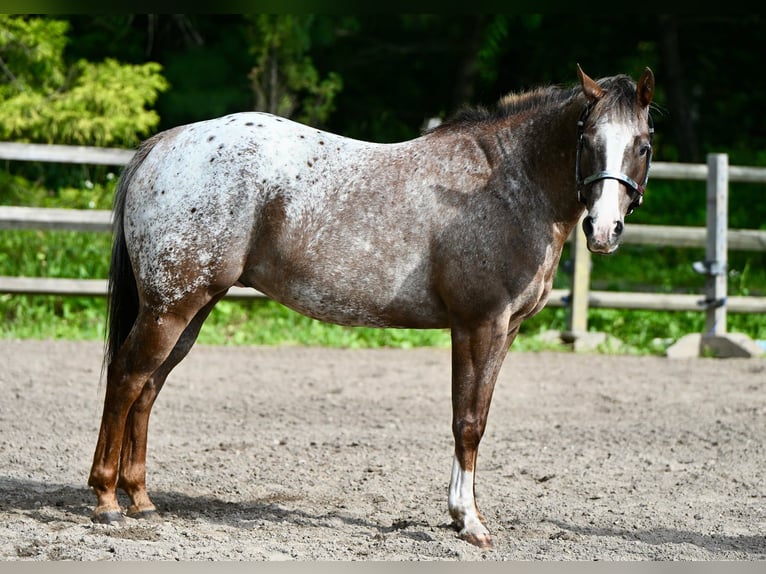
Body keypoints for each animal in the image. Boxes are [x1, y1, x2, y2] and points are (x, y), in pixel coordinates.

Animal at [88, 65, 655, 549]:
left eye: (643, 146)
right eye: (587, 141)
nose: (604, 230)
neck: (505, 183)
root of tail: (164, 145)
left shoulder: (504, 330)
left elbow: (477, 416)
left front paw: (462, 514)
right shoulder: (478, 325)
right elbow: (467, 421)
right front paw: (469, 522)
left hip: (190, 309)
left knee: (147, 389)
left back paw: (140, 499)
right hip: (170, 308)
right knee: (126, 378)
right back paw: (106, 501)